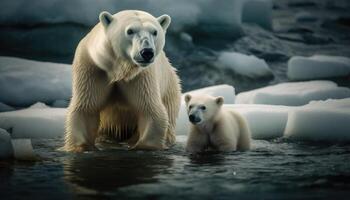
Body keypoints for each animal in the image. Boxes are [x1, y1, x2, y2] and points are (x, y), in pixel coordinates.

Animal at [63, 10, 182, 152]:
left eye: (154, 32)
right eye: (130, 31)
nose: (147, 52)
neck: (118, 69)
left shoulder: (141, 76)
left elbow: (150, 110)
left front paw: (143, 147)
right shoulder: (92, 69)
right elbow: (86, 108)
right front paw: (81, 147)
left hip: (170, 91)